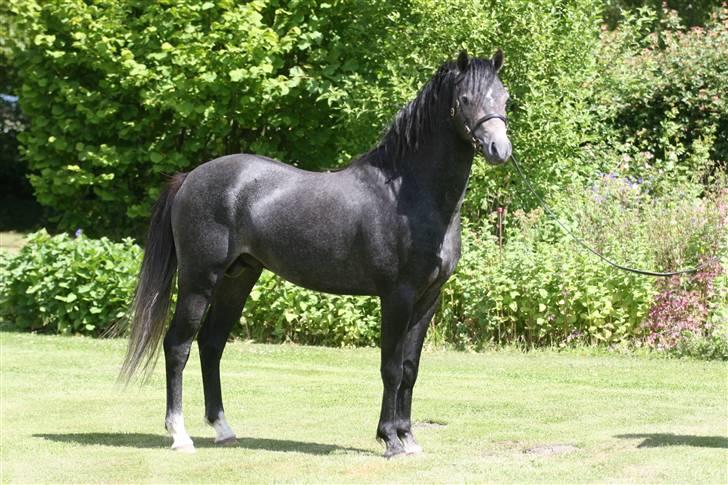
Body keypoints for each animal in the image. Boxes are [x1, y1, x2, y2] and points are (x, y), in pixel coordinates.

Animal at [120, 50, 512, 458]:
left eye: (505, 98)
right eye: (464, 99)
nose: (500, 150)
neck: (406, 194)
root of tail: (190, 178)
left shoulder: (428, 298)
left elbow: (409, 369)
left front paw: (408, 438)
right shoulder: (397, 296)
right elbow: (390, 368)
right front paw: (390, 439)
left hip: (237, 278)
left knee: (211, 345)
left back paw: (223, 428)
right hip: (199, 281)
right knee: (177, 345)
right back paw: (180, 435)